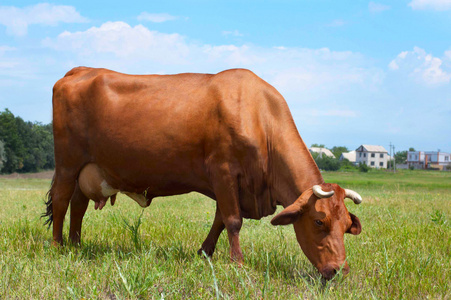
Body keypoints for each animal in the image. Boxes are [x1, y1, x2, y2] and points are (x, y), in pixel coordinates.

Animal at [43, 67, 364, 280]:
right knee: (61, 201)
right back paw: (58, 246)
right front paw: (238, 263)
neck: (260, 117)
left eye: (347, 225)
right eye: (319, 221)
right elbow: (233, 220)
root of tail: (80, 70)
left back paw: (77, 244)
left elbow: (220, 219)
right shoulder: (223, 171)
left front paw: (205, 252)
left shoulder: (230, 184)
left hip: (86, 171)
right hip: (68, 164)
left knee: (78, 205)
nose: (339, 270)